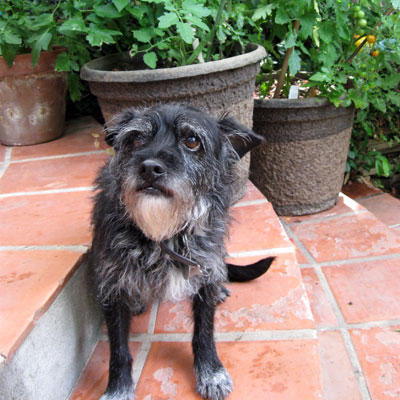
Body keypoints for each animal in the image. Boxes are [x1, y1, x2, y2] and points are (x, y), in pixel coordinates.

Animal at [87, 104, 276, 400]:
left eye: (192, 140)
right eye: (136, 139)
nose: (150, 168)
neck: (165, 234)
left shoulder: (205, 269)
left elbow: (204, 332)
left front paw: (211, 372)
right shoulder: (112, 285)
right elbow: (118, 348)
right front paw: (117, 389)